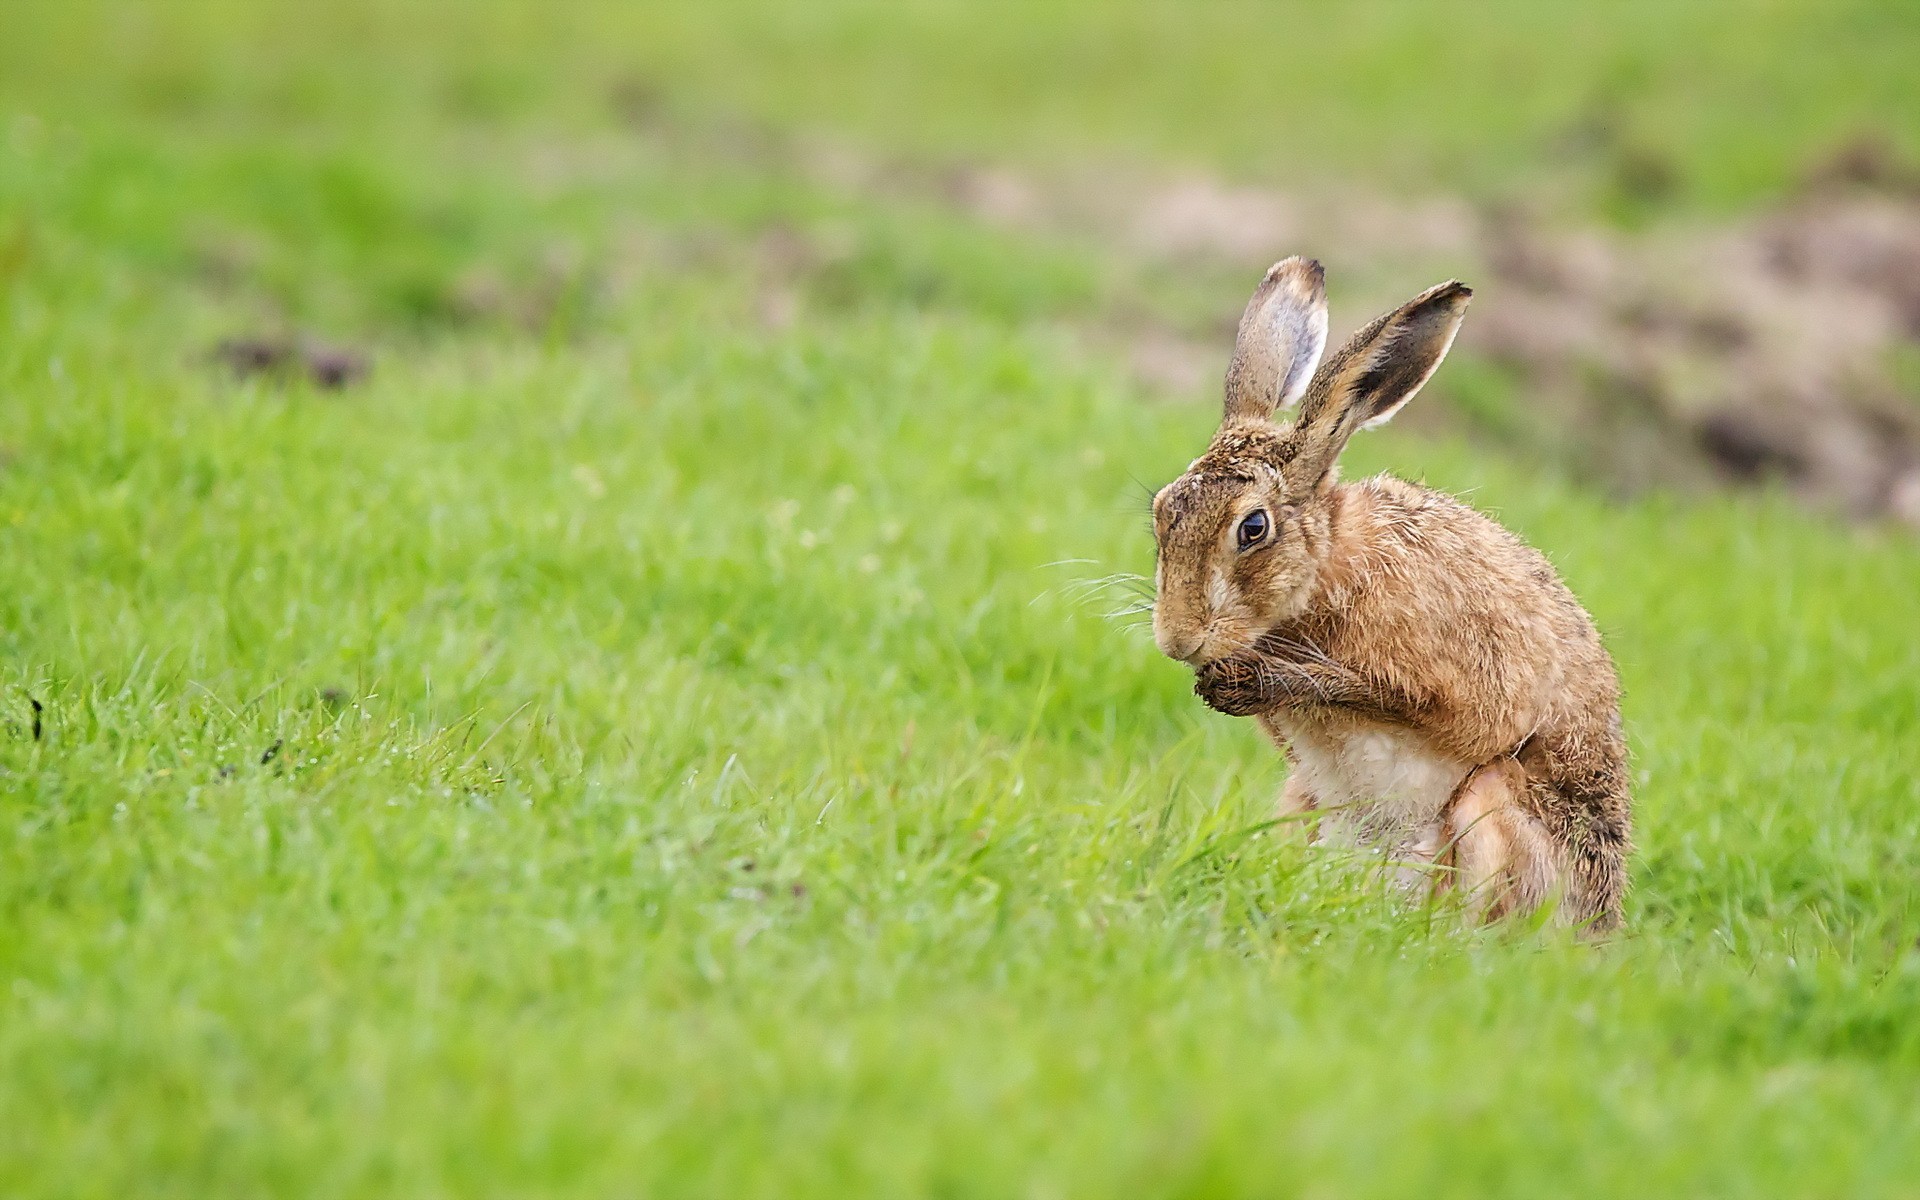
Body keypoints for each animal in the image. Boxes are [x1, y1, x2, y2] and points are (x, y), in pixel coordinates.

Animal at [1150, 257, 1631, 930]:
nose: (1176, 638)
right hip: (1301, 800)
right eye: (1162, 511)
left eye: (1253, 528)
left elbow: (1393, 698)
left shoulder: (1455, 677)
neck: (1328, 565)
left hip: (1492, 803)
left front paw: (1255, 681)